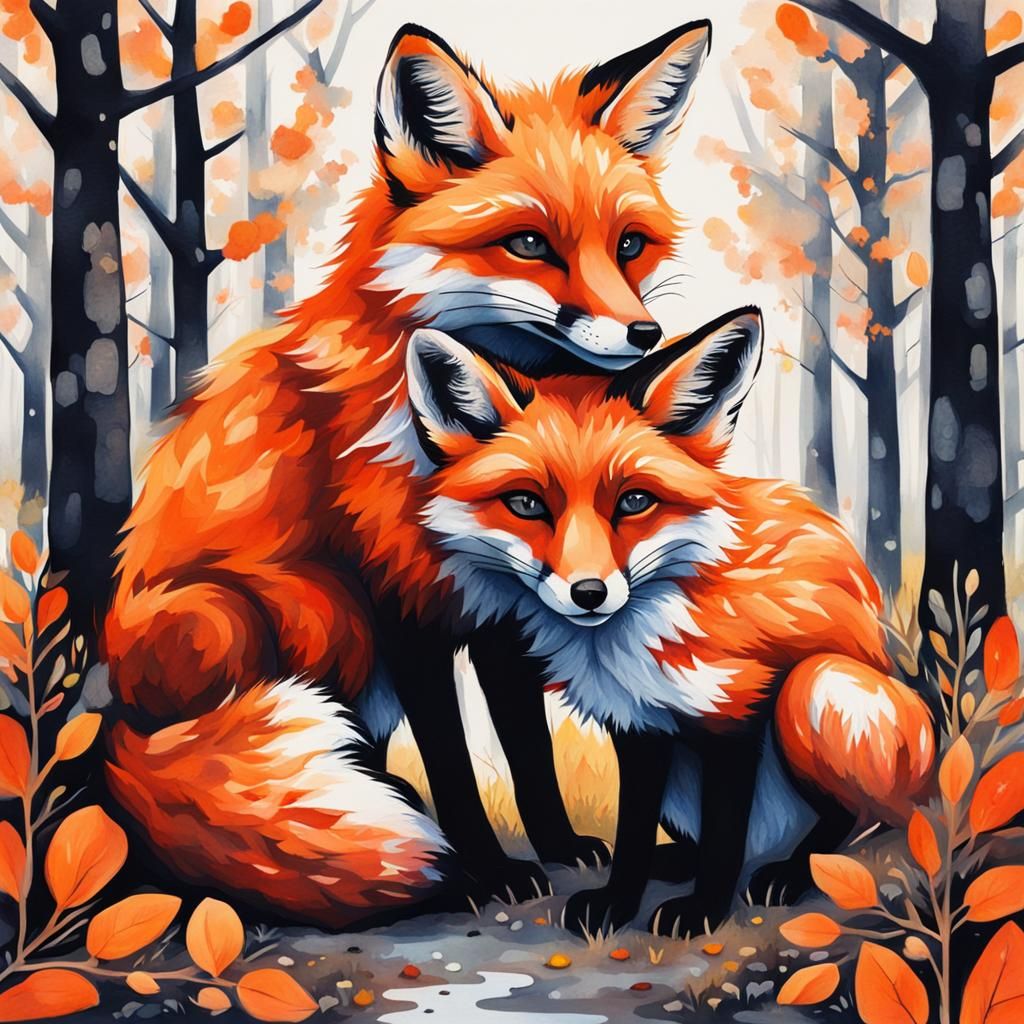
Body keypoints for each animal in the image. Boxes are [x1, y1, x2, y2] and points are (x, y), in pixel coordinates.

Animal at [101, 20, 714, 923]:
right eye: (529, 243)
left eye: (629, 245)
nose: (646, 334)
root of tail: (118, 723)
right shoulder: (399, 602)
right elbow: (454, 764)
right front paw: (489, 871)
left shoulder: (508, 605)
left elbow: (528, 748)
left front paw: (560, 844)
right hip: (297, 609)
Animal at [402, 309, 937, 938]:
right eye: (527, 504)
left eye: (634, 501)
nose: (589, 593)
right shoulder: (641, 726)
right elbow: (634, 830)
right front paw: (617, 902)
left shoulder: (740, 708)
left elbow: (726, 836)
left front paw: (703, 911)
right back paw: (680, 859)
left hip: (817, 687)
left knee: (856, 818)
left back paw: (792, 871)